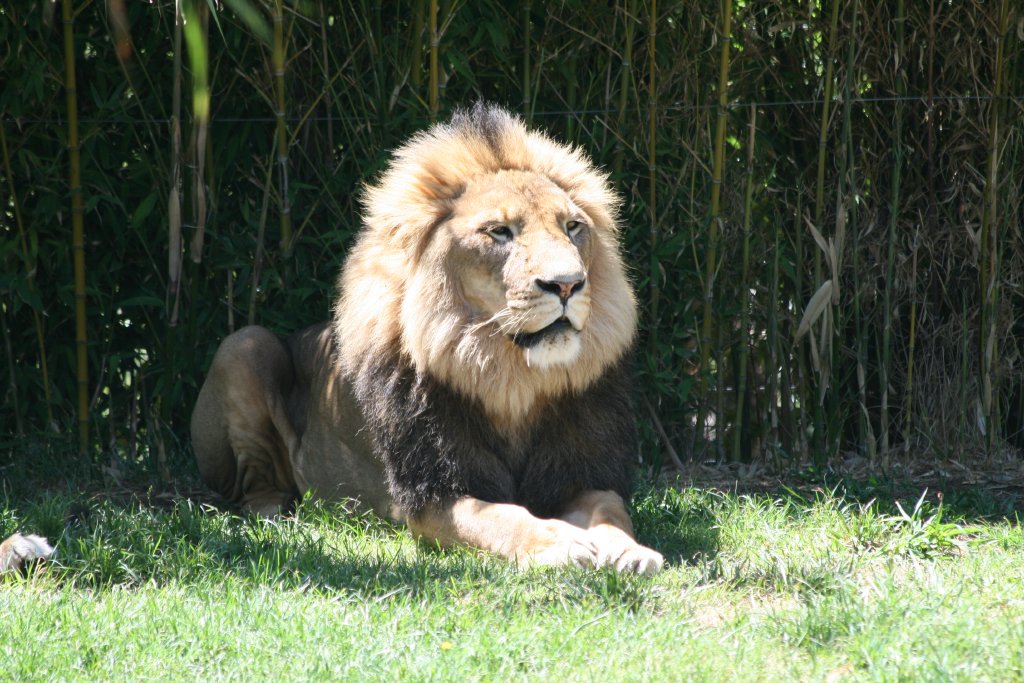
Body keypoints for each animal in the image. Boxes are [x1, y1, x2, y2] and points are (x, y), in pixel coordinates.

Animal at [191, 103, 663, 575]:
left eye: (573, 226)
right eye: (500, 231)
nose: (567, 284)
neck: (510, 378)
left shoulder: (579, 471)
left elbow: (610, 509)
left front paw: (629, 550)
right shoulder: (433, 493)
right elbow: (502, 518)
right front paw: (558, 543)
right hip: (244, 345)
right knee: (255, 484)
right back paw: (278, 514)